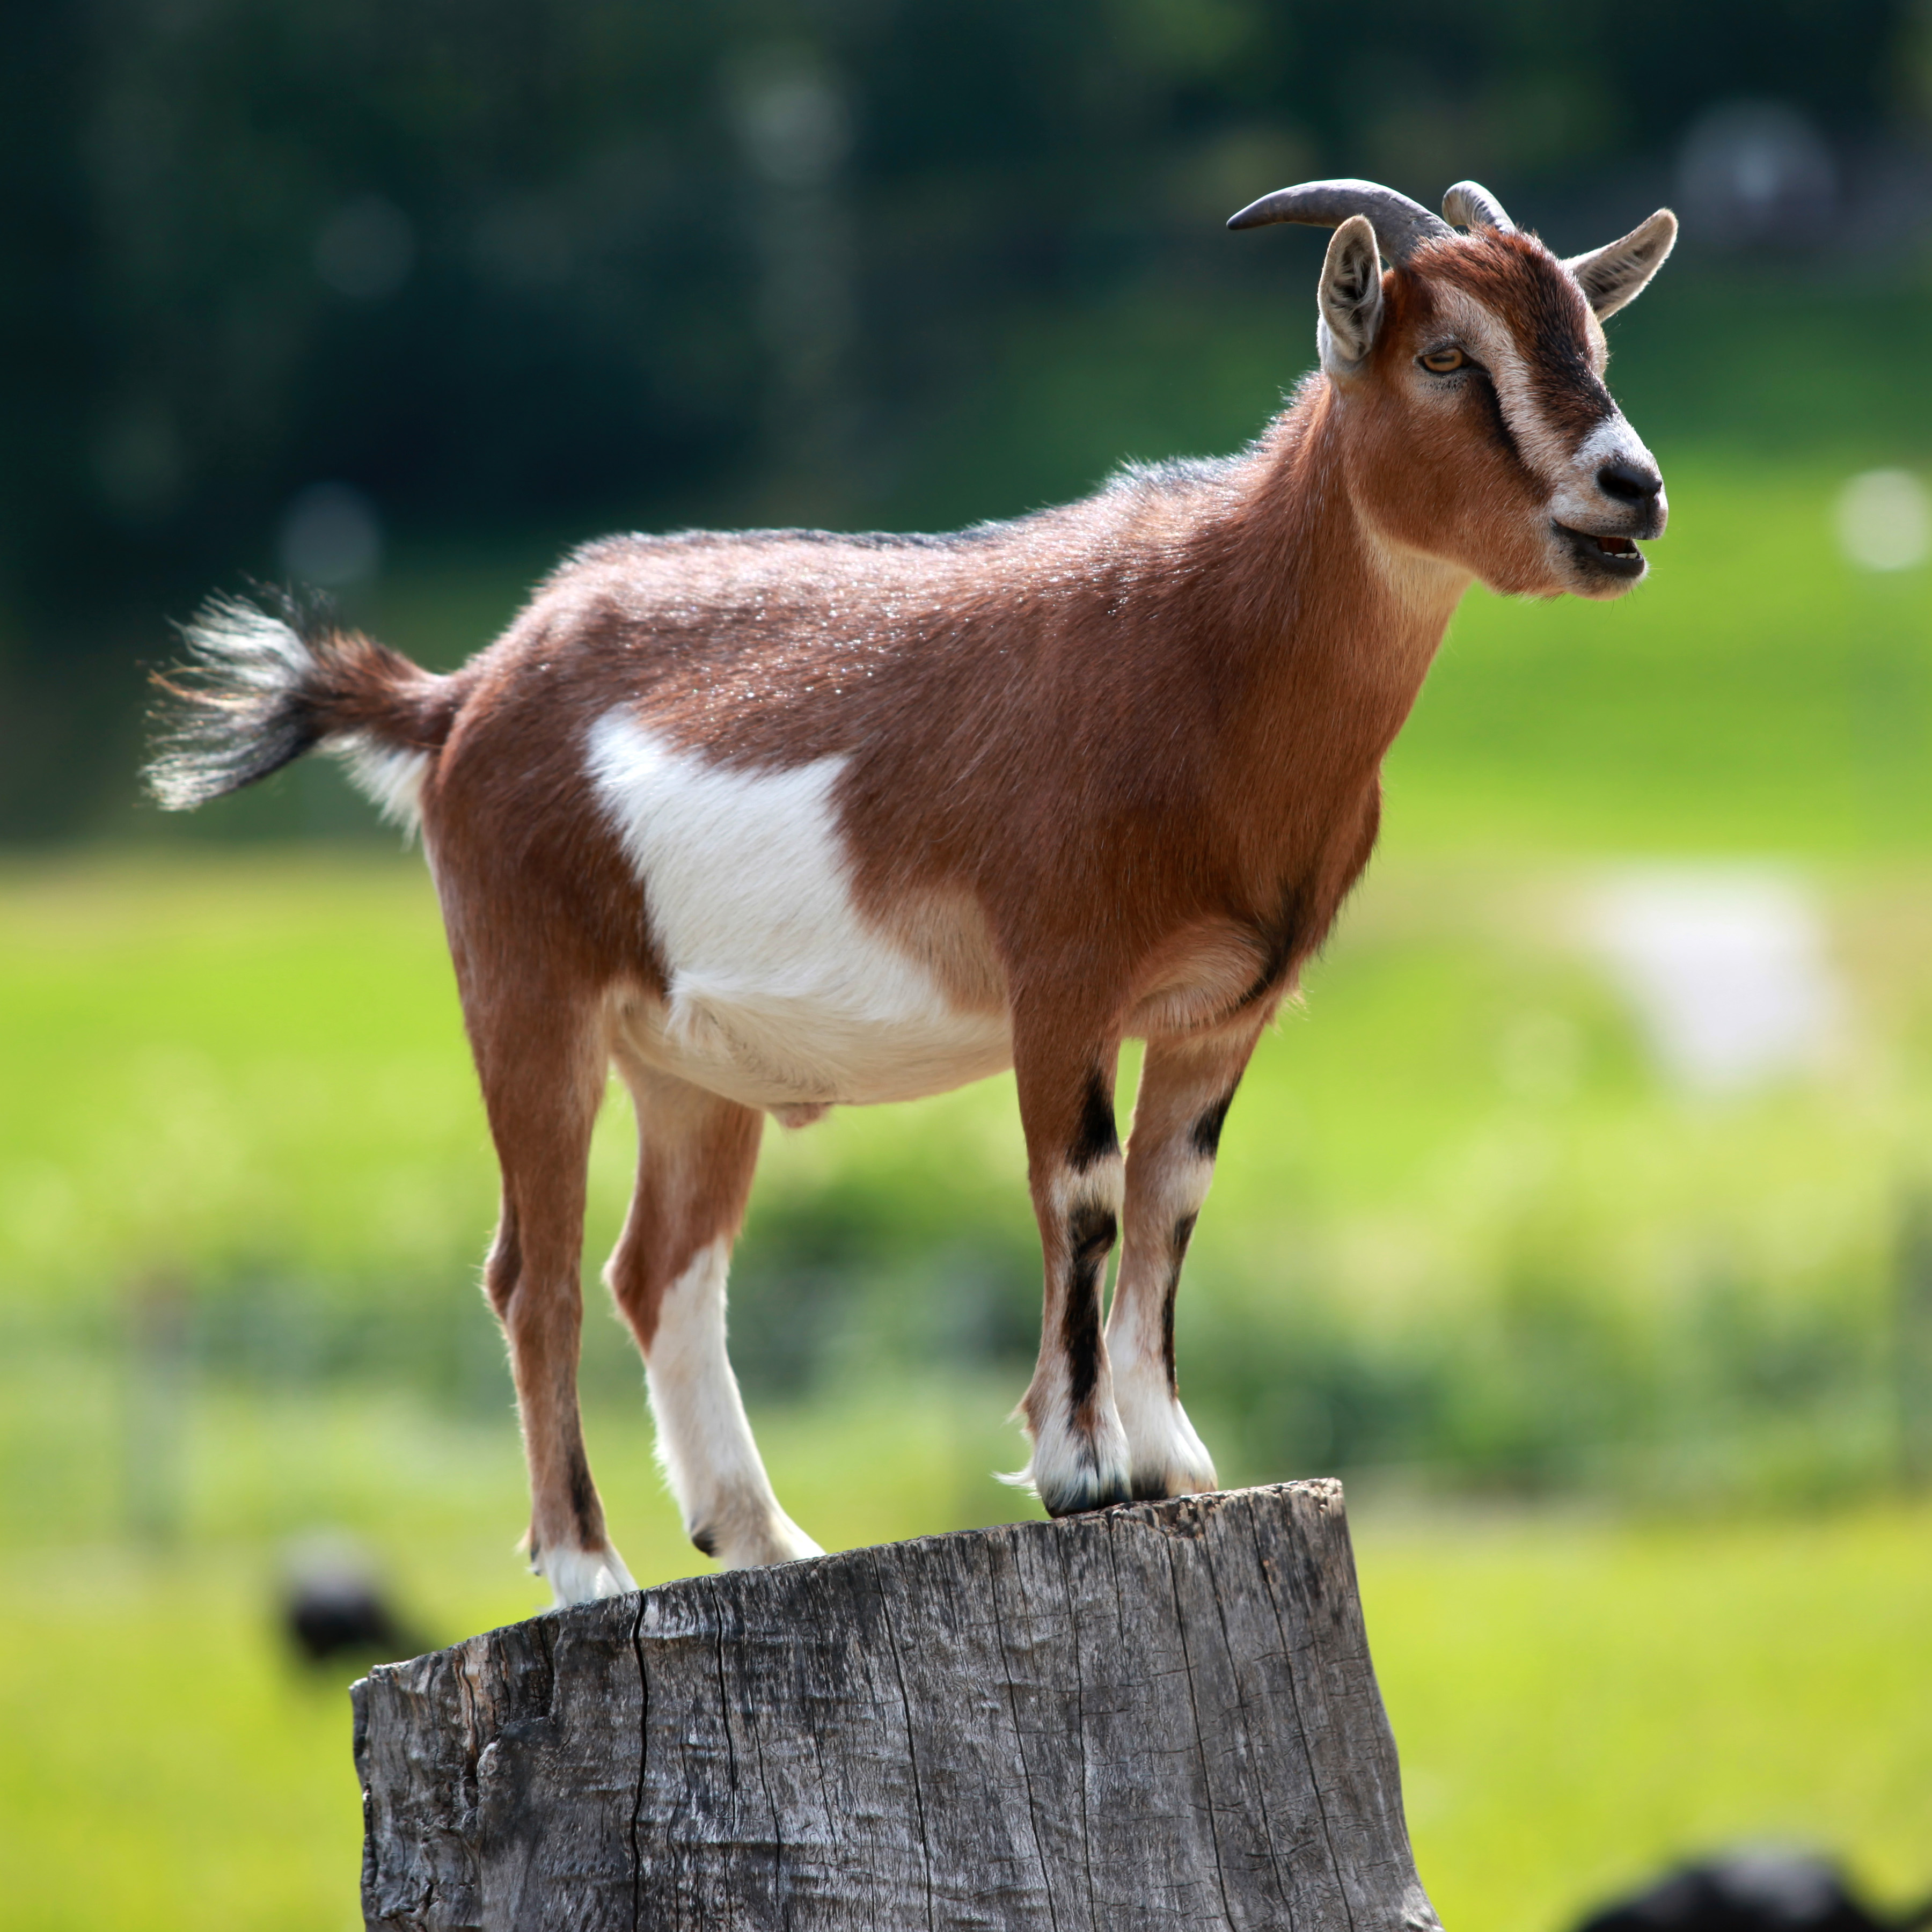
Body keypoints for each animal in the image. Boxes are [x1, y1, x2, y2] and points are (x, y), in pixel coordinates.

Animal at [147, 178, 1677, 1599]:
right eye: (1444, 356)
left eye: (1592, 338)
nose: (1632, 487)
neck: (1207, 650)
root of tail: (462, 694)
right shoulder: (1061, 978)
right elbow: (1083, 1192)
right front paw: (1080, 1470)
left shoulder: (1224, 1007)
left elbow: (1174, 1198)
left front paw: (1172, 1459)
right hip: (527, 987)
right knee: (537, 1271)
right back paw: (588, 1569)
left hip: (685, 1062)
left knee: (658, 1267)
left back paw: (761, 1536)